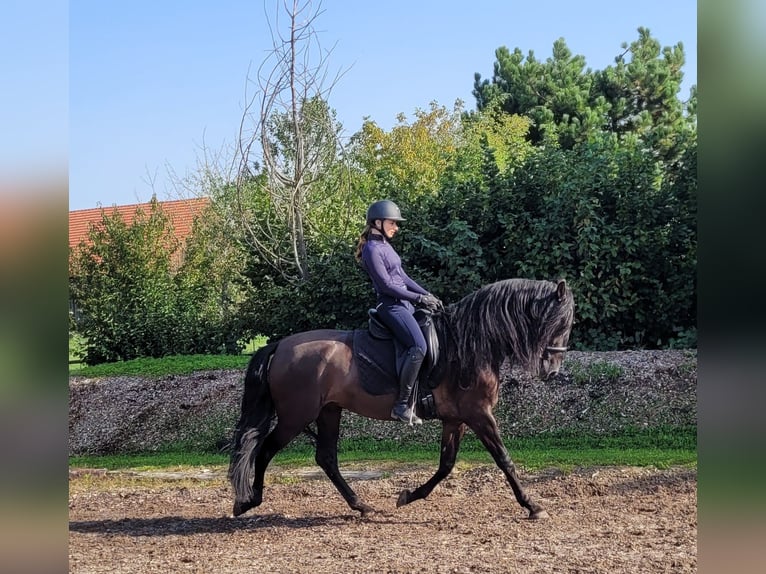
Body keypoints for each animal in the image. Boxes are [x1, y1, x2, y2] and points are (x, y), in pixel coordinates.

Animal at [230, 280, 576, 520]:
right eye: (562, 323)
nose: (553, 371)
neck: (468, 346)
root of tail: (279, 346)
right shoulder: (478, 414)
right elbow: (504, 459)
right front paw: (532, 506)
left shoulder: (456, 418)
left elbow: (446, 465)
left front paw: (408, 495)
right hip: (296, 416)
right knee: (265, 450)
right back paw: (247, 501)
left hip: (328, 411)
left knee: (326, 458)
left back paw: (361, 506)